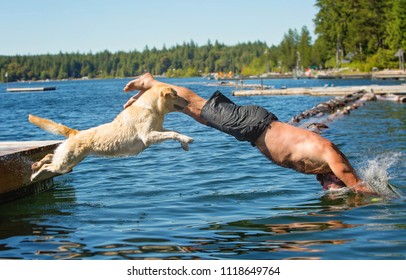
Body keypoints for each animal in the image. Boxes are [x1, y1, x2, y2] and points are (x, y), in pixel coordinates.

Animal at [28, 84, 193, 182]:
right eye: (175, 94)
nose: (188, 101)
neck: (153, 108)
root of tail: (75, 133)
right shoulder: (148, 136)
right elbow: (173, 133)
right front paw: (187, 139)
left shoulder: (158, 130)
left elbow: (174, 131)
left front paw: (184, 143)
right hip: (64, 164)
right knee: (48, 165)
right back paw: (35, 174)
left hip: (70, 160)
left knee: (50, 156)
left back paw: (36, 164)